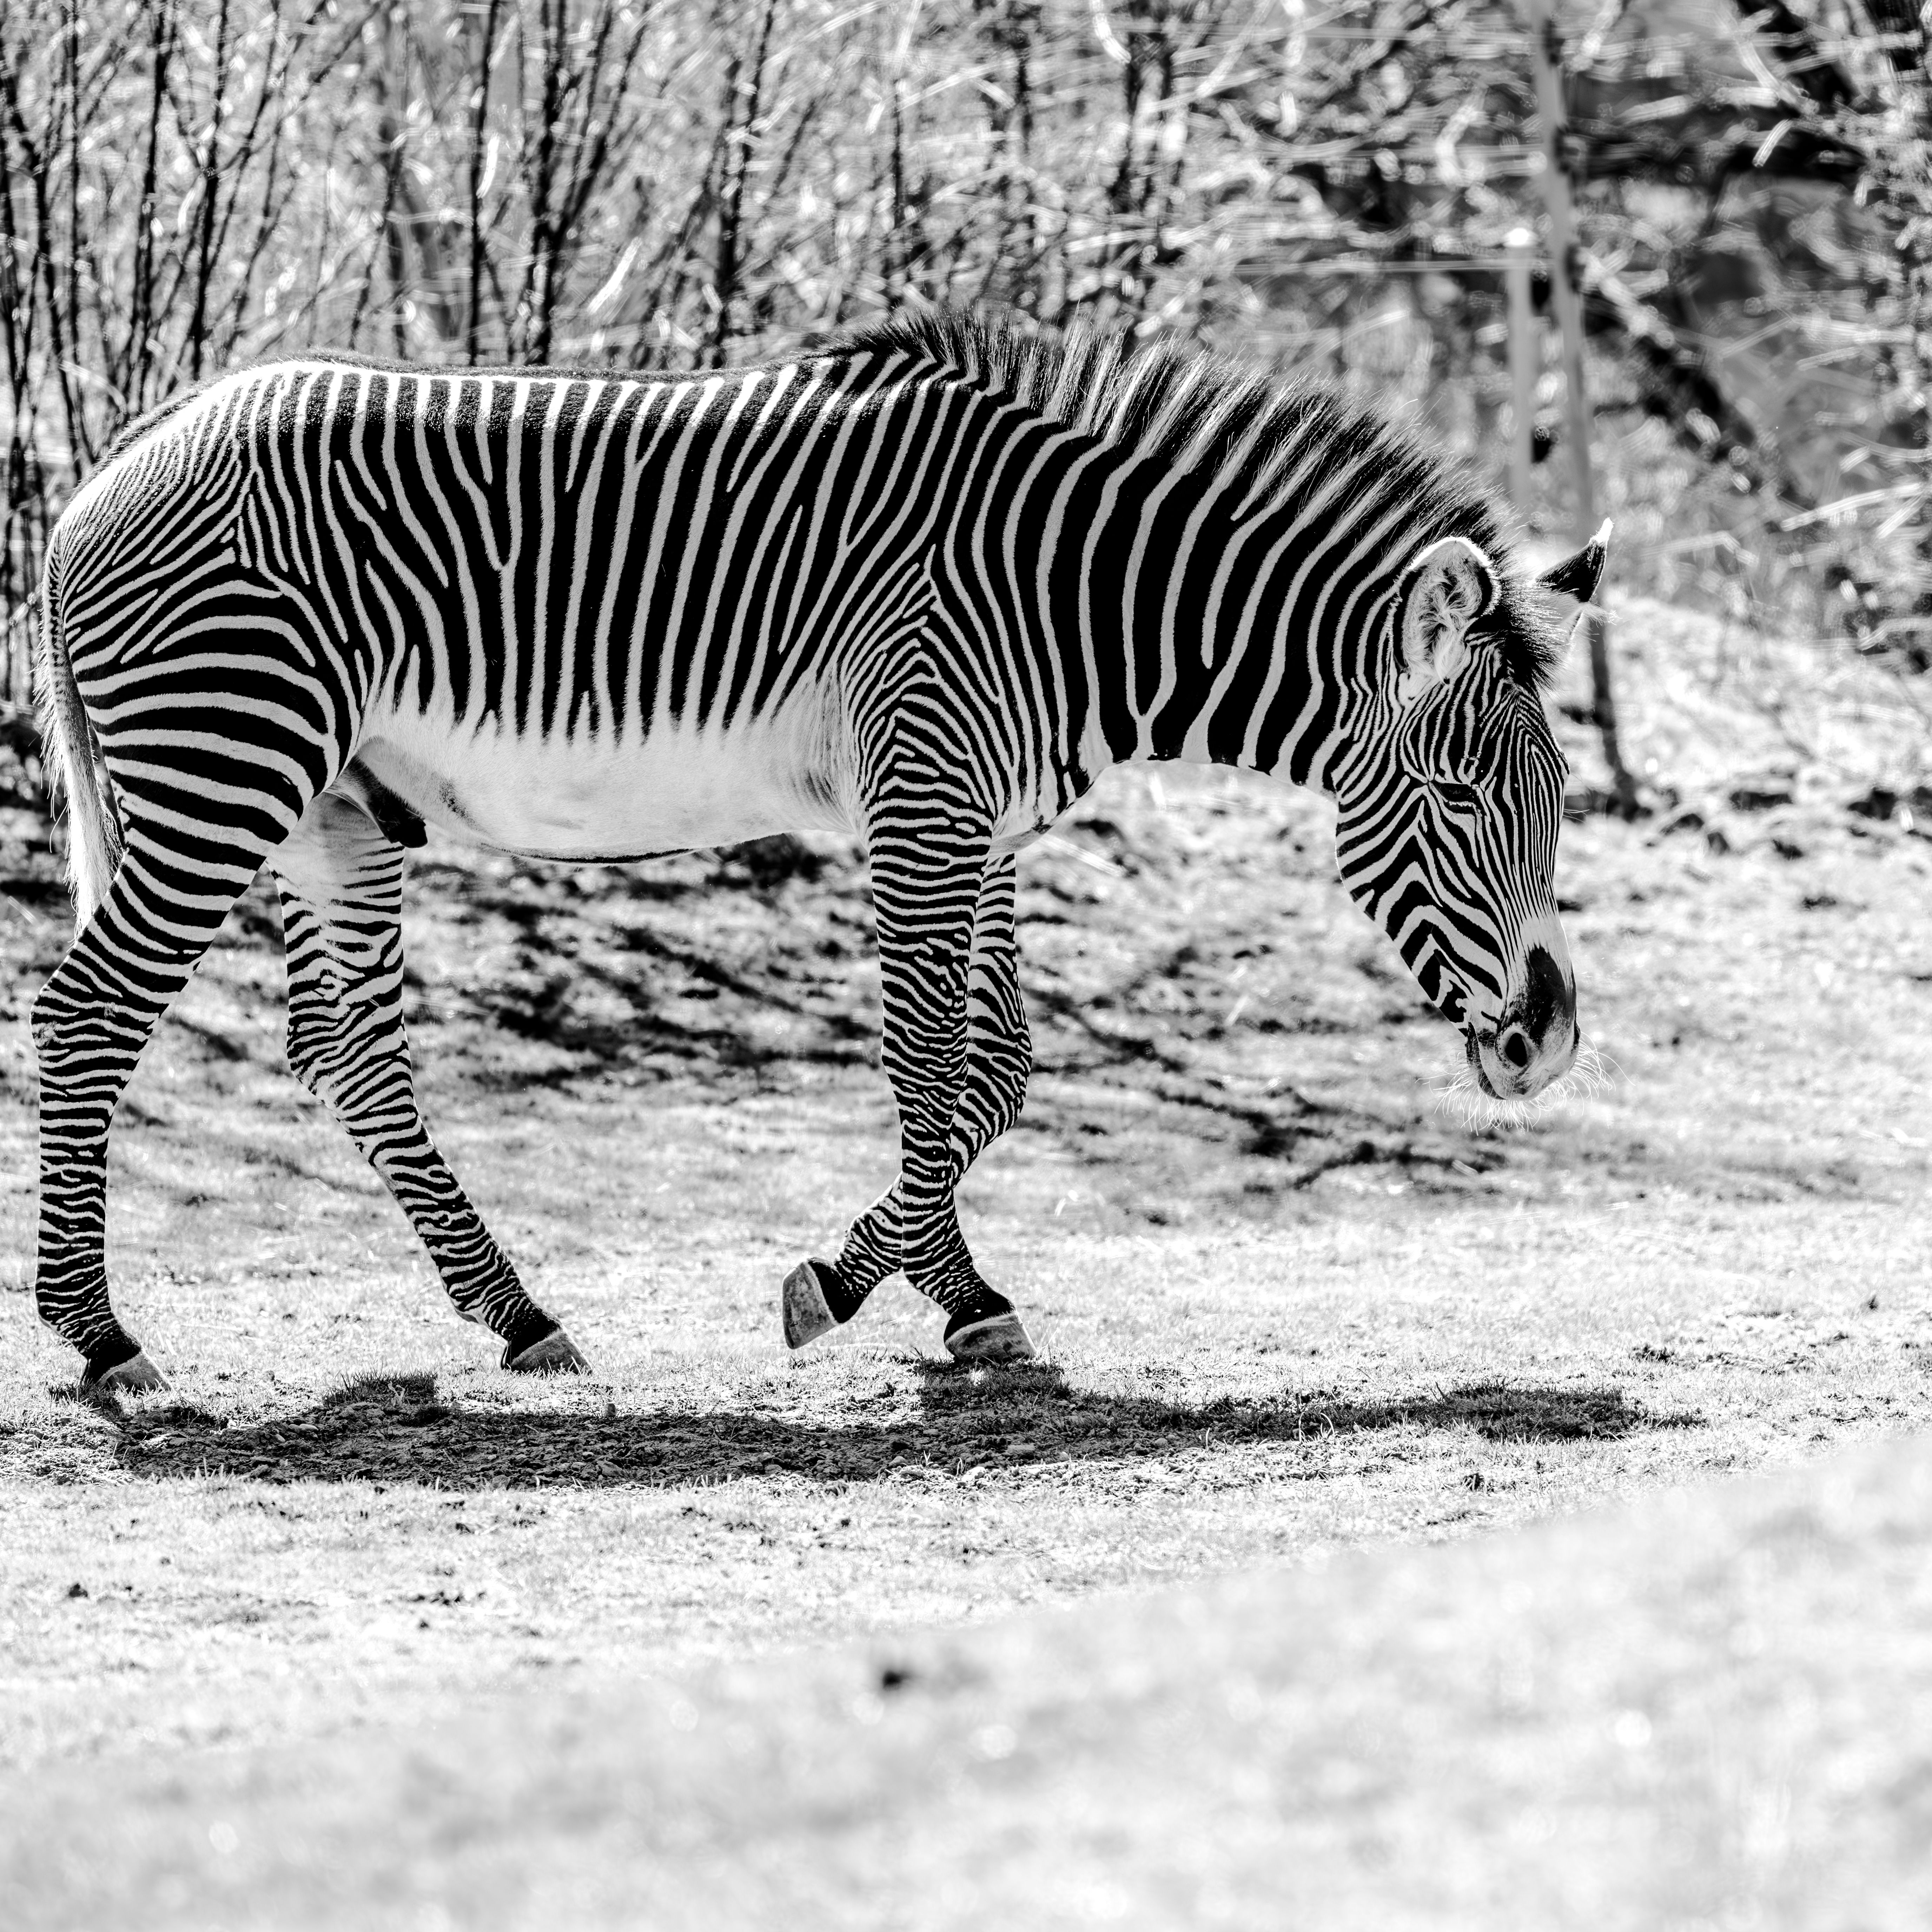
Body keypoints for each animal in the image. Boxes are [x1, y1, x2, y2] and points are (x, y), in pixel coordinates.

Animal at [30, 309, 1602, 1394]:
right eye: (1459, 795)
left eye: (1555, 794)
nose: (1547, 1040)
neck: (1069, 592)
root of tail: (107, 466)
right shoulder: (921, 804)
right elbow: (926, 1063)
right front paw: (896, 1293)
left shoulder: (982, 825)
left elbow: (995, 1068)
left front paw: (919, 1289)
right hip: (225, 763)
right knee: (86, 1014)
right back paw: (102, 1338)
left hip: (335, 816)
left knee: (347, 1055)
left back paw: (520, 1316)